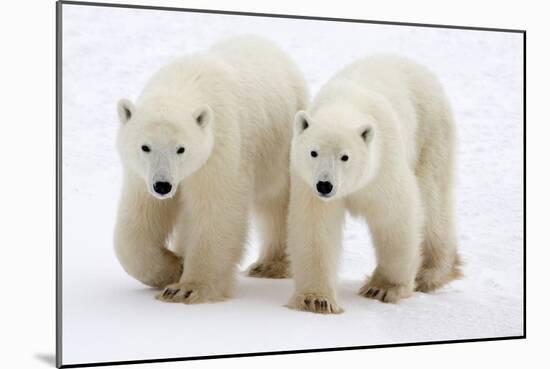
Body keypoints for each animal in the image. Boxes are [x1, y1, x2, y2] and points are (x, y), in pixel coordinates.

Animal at [113, 36, 308, 304]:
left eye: (181, 149)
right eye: (145, 147)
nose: (163, 186)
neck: (183, 83)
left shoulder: (219, 147)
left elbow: (216, 211)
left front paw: (186, 288)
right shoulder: (141, 175)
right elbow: (139, 220)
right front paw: (174, 266)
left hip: (280, 146)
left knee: (277, 199)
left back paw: (270, 265)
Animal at [286, 55, 464, 314]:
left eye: (345, 156)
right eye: (313, 152)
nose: (325, 185)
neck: (345, 106)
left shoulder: (383, 166)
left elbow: (395, 217)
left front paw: (382, 288)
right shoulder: (306, 182)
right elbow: (315, 227)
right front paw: (316, 300)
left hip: (431, 132)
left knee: (432, 199)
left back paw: (432, 273)